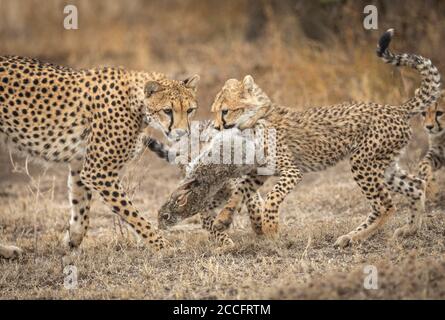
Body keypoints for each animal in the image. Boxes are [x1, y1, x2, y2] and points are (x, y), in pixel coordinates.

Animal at [0, 55, 199, 258]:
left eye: (190, 110)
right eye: (167, 111)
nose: (182, 133)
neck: (136, 102)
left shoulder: (81, 164)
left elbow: (80, 204)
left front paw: (72, 239)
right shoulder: (98, 171)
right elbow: (133, 213)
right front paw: (162, 245)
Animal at [209, 28, 440, 248]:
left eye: (225, 111)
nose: (216, 126)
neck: (253, 121)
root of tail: (395, 108)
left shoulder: (292, 171)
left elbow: (272, 197)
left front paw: (271, 228)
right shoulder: (259, 172)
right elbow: (240, 190)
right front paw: (223, 218)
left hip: (362, 162)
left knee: (385, 206)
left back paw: (354, 237)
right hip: (384, 165)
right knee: (416, 186)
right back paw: (408, 230)